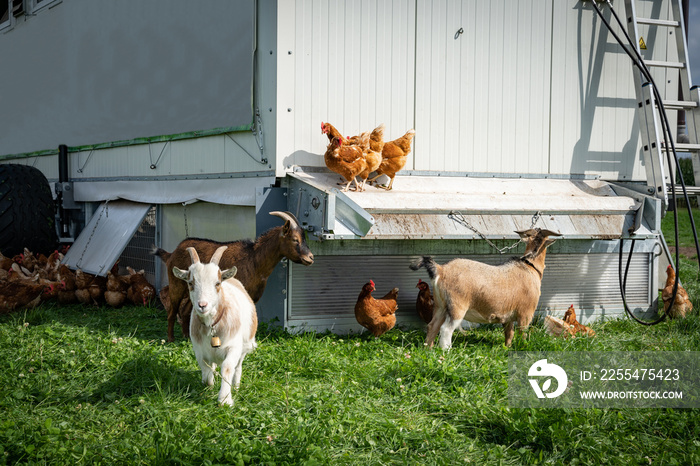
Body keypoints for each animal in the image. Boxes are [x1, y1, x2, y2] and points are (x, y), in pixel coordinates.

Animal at [156, 211, 318, 342]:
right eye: (295, 239)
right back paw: (170, 339)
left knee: (184, 312)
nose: (310, 258)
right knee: (172, 311)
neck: (254, 259)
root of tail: (172, 254)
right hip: (176, 284)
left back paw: (187, 337)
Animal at [172, 246, 258, 406]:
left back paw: (236, 386)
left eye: (217, 283)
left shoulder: (233, 346)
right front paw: (209, 387)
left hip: (245, 344)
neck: (212, 326)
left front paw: (225, 399)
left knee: (238, 366)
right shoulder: (199, 350)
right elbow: (206, 372)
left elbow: (228, 368)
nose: (202, 305)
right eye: (191, 283)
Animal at [408, 228, 560, 348]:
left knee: (432, 326)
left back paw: (429, 350)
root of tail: (440, 269)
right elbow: (522, 333)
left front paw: (507, 348)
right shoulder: (526, 313)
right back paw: (446, 352)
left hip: (440, 306)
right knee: (446, 329)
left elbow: (509, 333)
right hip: (457, 306)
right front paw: (523, 347)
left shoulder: (508, 315)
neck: (529, 266)